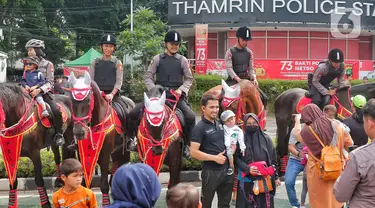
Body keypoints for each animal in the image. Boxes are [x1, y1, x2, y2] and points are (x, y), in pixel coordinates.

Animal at [67, 72, 134, 206]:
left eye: (88, 100)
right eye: (72, 101)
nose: (79, 132)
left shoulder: (105, 155)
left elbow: (104, 185)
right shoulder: (81, 154)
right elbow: (83, 183)